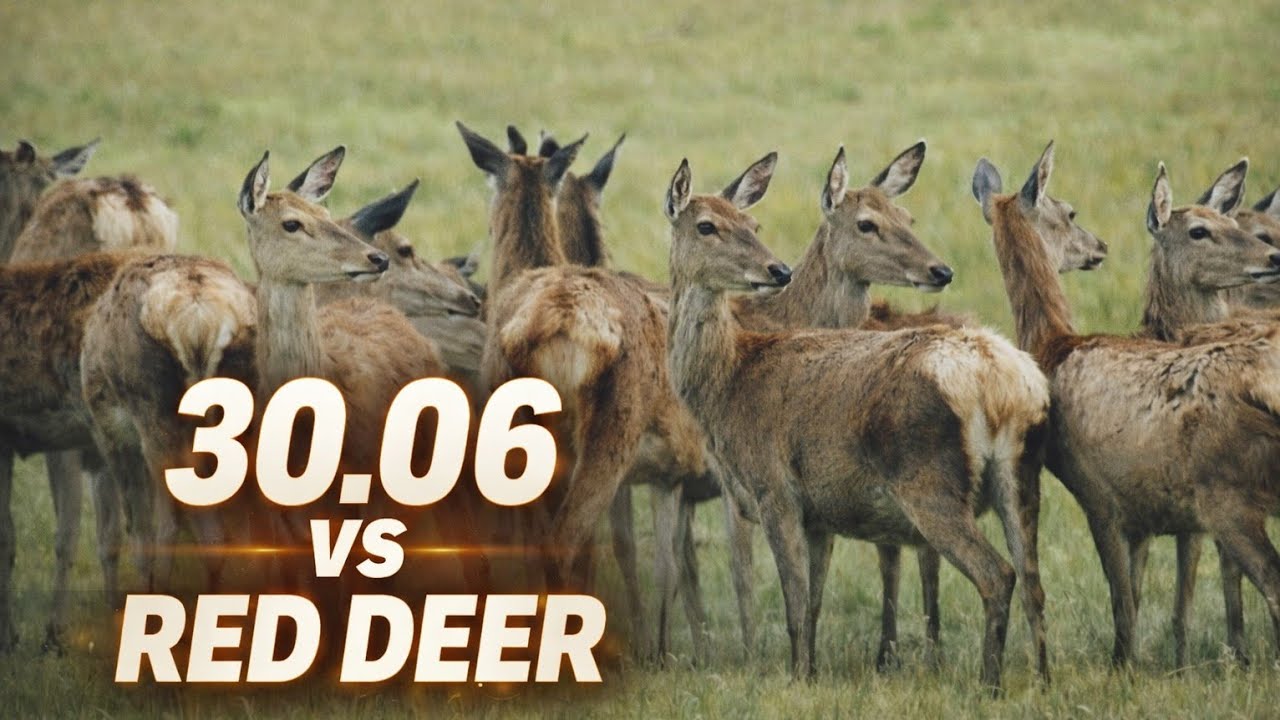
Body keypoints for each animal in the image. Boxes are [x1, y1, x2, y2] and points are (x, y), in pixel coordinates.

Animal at [663, 154, 1051, 690]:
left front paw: (796, 679)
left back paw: (988, 684)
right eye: (707, 225)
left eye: (752, 224)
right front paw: (810, 672)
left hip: (929, 479)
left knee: (997, 574)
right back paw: (1042, 679)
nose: (776, 269)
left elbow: (793, 603)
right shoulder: (817, 512)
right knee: (1033, 581)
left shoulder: (774, 488)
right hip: (1021, 475)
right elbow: (813, 604)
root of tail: (1001, 383)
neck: (729, 381)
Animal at [973, 141, 1280, 669]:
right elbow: (1142, 596)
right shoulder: (1144, 514)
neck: (1056, 347)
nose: (1098, 247)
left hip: (1228, 493)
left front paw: (1125, 667)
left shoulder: (1098, 494)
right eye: (1070, 212)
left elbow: (1124, 603)